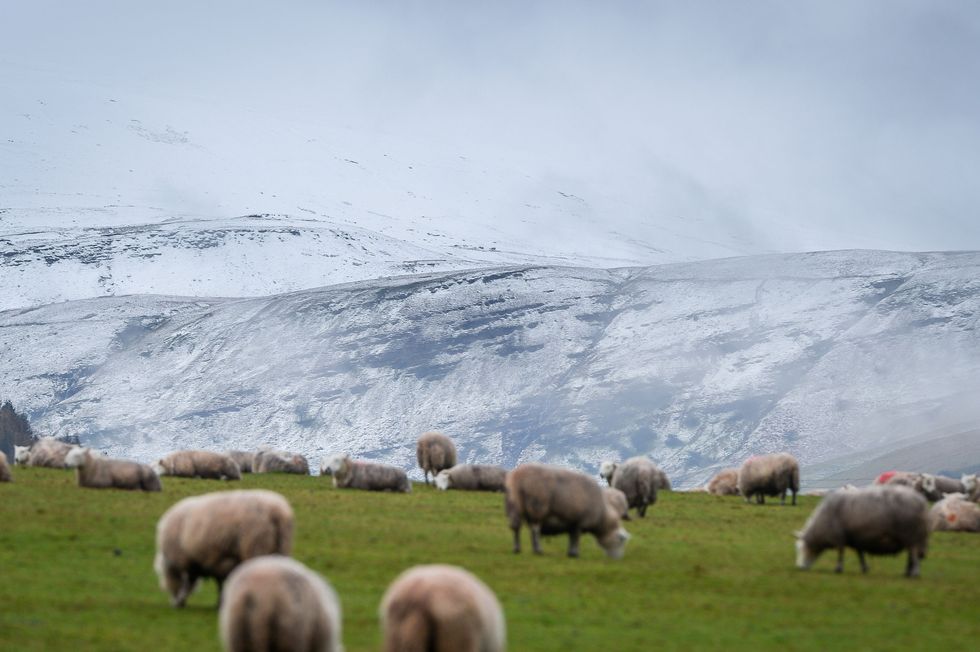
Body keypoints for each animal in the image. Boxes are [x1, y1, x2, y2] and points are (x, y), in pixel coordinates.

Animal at [155, 488, 292, 608]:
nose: (173, 603)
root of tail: (275, 511)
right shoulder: (217, 561)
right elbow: (220, 582)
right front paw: (220, 602)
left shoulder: (191, 561)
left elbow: (190, 583)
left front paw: (180, 600)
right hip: (281, 548)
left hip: (256, 547)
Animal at [502, 460, 632, 556]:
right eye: (620, 541)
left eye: (608, 467)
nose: (601, 474)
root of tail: (518, 477)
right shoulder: (578, 521)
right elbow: (575, 537)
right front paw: (574, 553)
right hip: (537, 506)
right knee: (534, 529)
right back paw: (537, 550)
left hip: (515, 504)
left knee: (516, 527)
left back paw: (517, 548)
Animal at [792, 484, 932, 580]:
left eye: (802, 548)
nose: (801, 568)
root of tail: (922, 502)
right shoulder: (856, 538)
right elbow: (860, 554)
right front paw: (865, 568)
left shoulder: (839, 537)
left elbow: (840, 553)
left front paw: (838, 569)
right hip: (911, 537)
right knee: (911, 556)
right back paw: (907, 573)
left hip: (911, 534)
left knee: (914, 555)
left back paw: (914, 573)